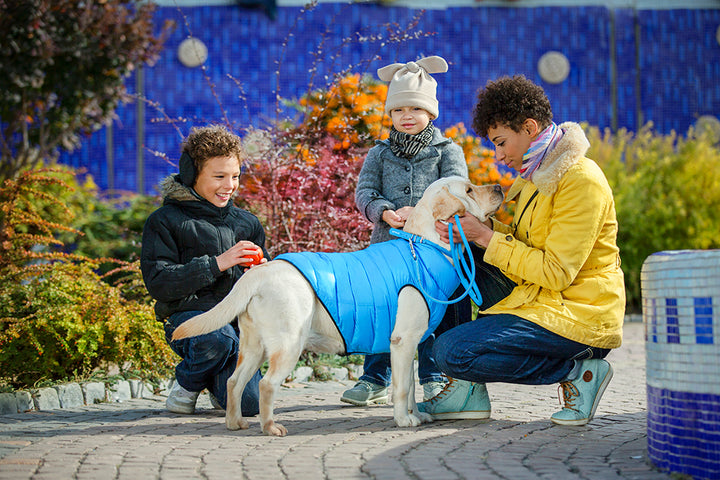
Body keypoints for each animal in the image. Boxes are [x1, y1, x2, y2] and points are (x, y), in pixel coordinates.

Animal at [172, 176, 504, 436]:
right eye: (470, 189)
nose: (500, 186)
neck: (422, 246)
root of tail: (260, 271)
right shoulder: (403, 340)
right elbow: (402, 388)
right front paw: (403, 420)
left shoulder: (407, 345)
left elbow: (409, 386)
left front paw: (416, 415)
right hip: (288, 343)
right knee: (266, 385)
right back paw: (270, 427)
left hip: (254, 347)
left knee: (233, 381)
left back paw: (235, 423)